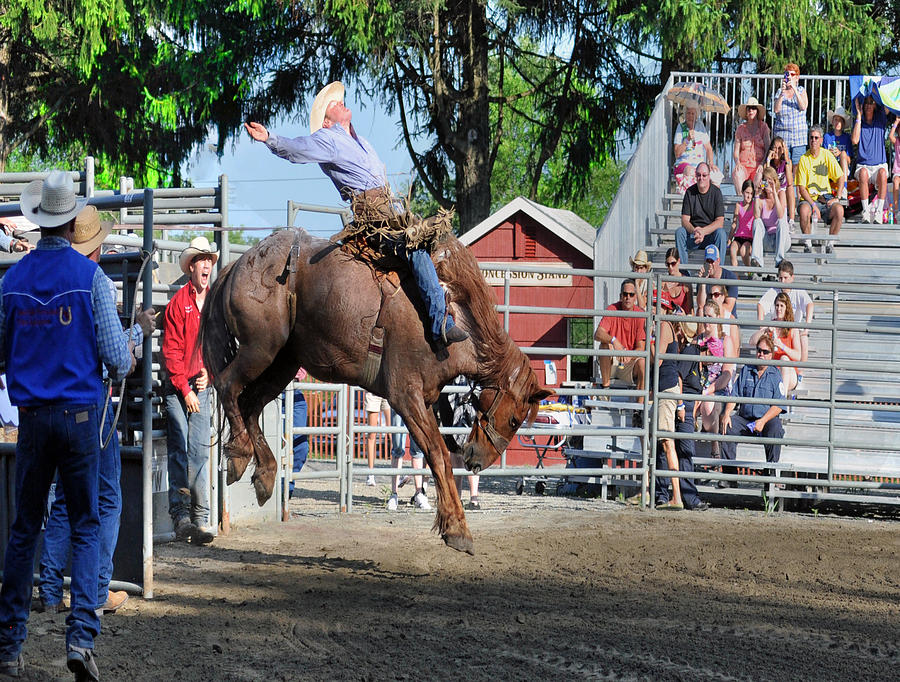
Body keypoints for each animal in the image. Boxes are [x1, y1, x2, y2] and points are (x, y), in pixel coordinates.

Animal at [200, 230, 548, 552]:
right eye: (515, 420)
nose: (477, 461)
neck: (448, 321)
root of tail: (237, 265)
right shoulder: (406, 397)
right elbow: (438, 455)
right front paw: (457, 530)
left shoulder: (424, 400)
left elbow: (436, 455)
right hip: (260, 348)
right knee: (228, 385)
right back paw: (239, 454)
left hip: (283, 362)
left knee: (250, 403)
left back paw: (264, 475)